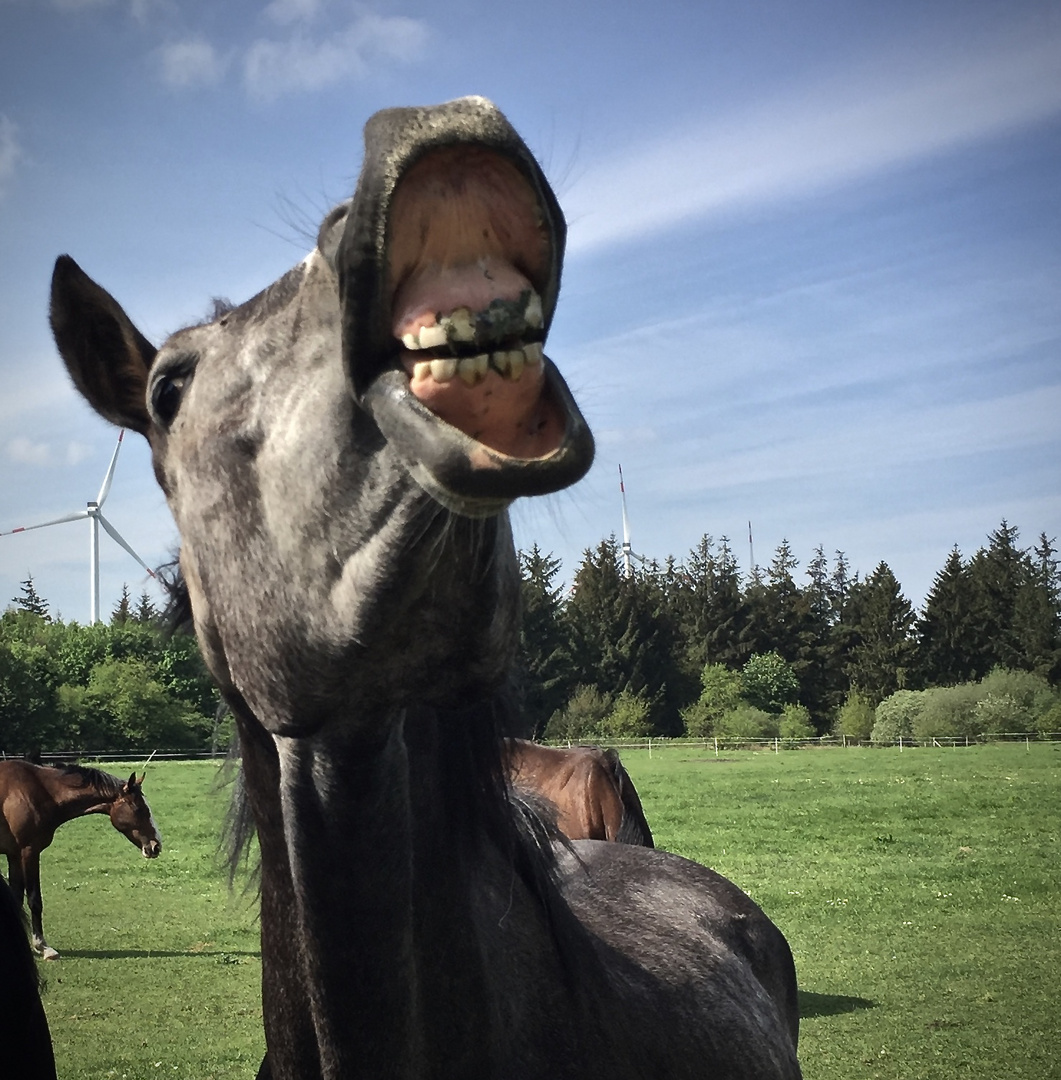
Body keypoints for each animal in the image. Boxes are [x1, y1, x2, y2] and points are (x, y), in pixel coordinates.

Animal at [0, 760, 162, 963]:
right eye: (140, 809)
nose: (156, 846)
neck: (37, 791)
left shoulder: (14, 855)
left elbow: (16, 899)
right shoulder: (28, 852)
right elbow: (34, 900)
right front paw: (43, 947)